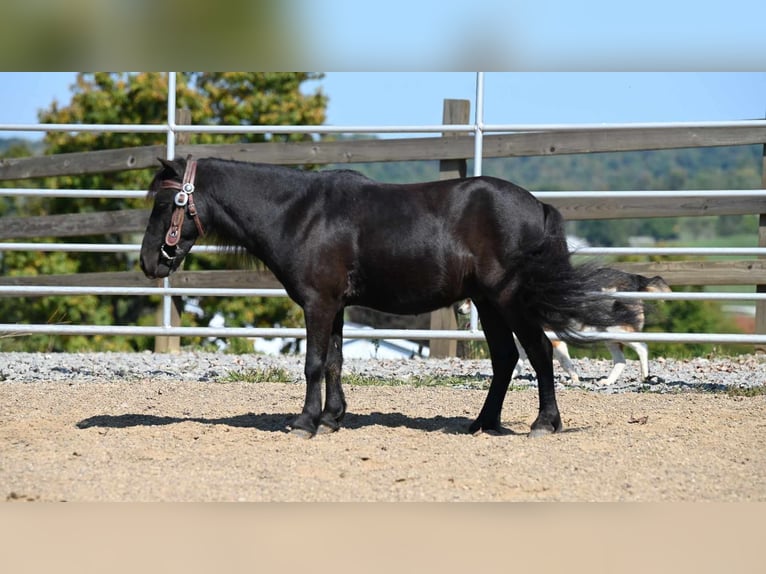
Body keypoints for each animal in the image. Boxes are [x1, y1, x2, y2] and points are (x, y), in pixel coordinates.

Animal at [141, 155, 640, 438]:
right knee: (505, 359)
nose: (149, 262)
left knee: (537, 352)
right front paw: (332, 418)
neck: (299, 214)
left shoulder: (318, 303)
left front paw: (305, 424)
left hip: (511, 299)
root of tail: (539, 206)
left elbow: (313, 363)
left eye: (166, 204)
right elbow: (336, 361)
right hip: (488, 303)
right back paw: (481, 424)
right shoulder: (335, 305)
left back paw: (543, 424)